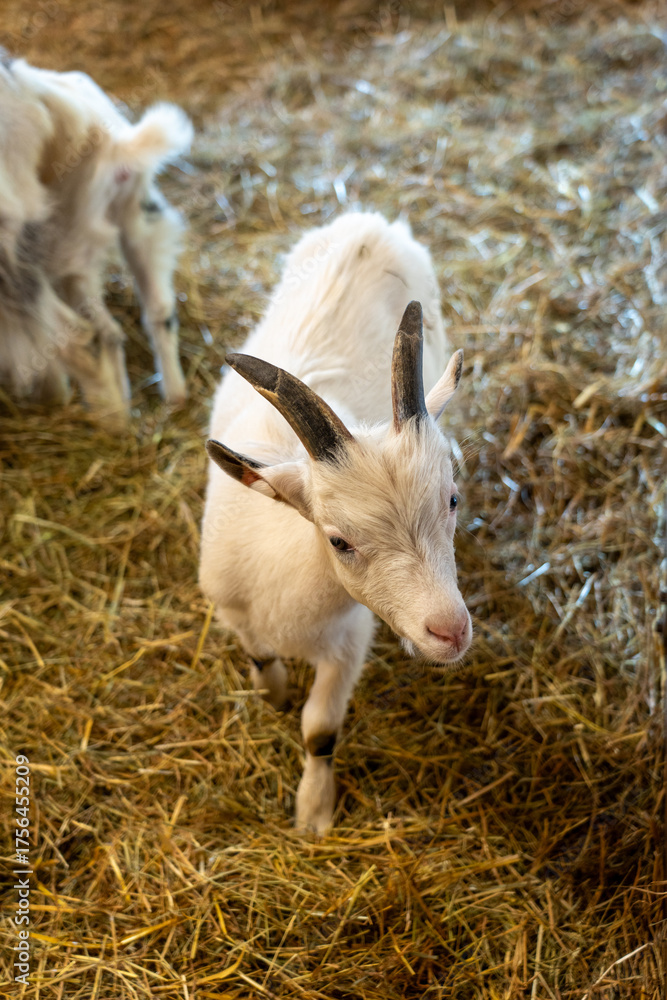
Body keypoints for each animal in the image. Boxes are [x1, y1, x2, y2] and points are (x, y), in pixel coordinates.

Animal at [0, 53, 193, 425]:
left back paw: (105, 419)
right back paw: (170, 397)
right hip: (130, 219)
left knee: (75, 334)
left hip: (22, 243)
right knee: (152, 311)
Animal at [200, 212, 472, 833]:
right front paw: (272, 694)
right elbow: (259, 655)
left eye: (452, 500)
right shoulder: (230, 605)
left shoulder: (348, 643)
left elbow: (320, 730)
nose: (450, 631)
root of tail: (371, 225)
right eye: (339, 540)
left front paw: (313, 814)